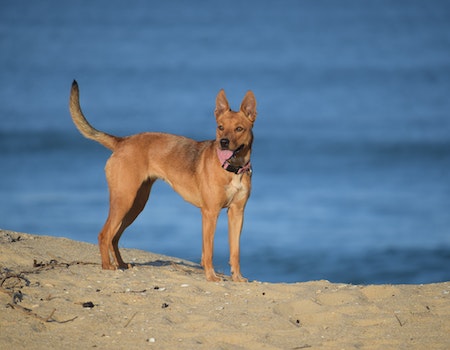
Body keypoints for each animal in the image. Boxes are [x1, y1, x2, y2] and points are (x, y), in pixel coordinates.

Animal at [67, 81, 256, 282]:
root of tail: (122, 142)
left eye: (239, 129)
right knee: (104, 234)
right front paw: (211, 276)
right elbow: (209, 251)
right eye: (220, 127)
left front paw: (238, 277)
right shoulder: (210, 213)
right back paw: (107, 266)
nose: (223, 142)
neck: (233, 169)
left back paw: (121, 264)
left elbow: (235, 251)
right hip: (124, 200)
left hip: (135, 205)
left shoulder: (237, 213)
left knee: (114, 237)